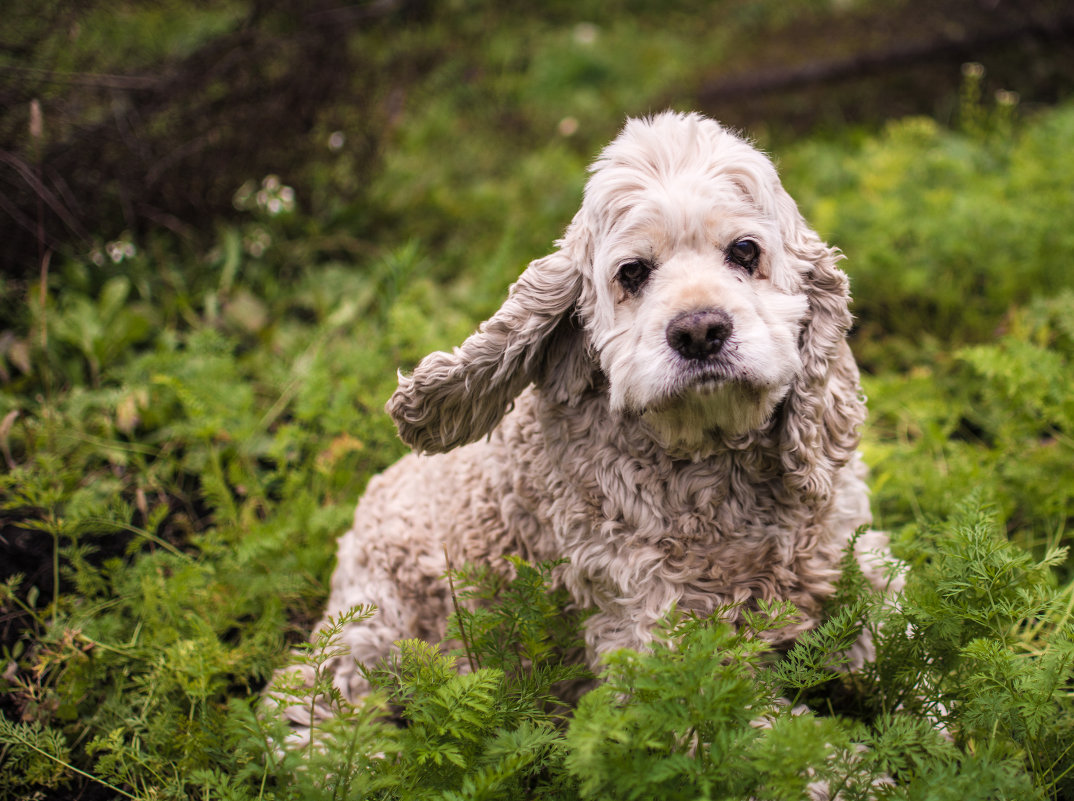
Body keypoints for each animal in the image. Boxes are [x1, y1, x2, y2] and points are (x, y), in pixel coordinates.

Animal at [281, 108, 893, 725]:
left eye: (745, 251)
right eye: (633, 272)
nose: (699, 331)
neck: (714, 470)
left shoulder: (853, 554)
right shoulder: (658, 643)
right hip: (370, 627)